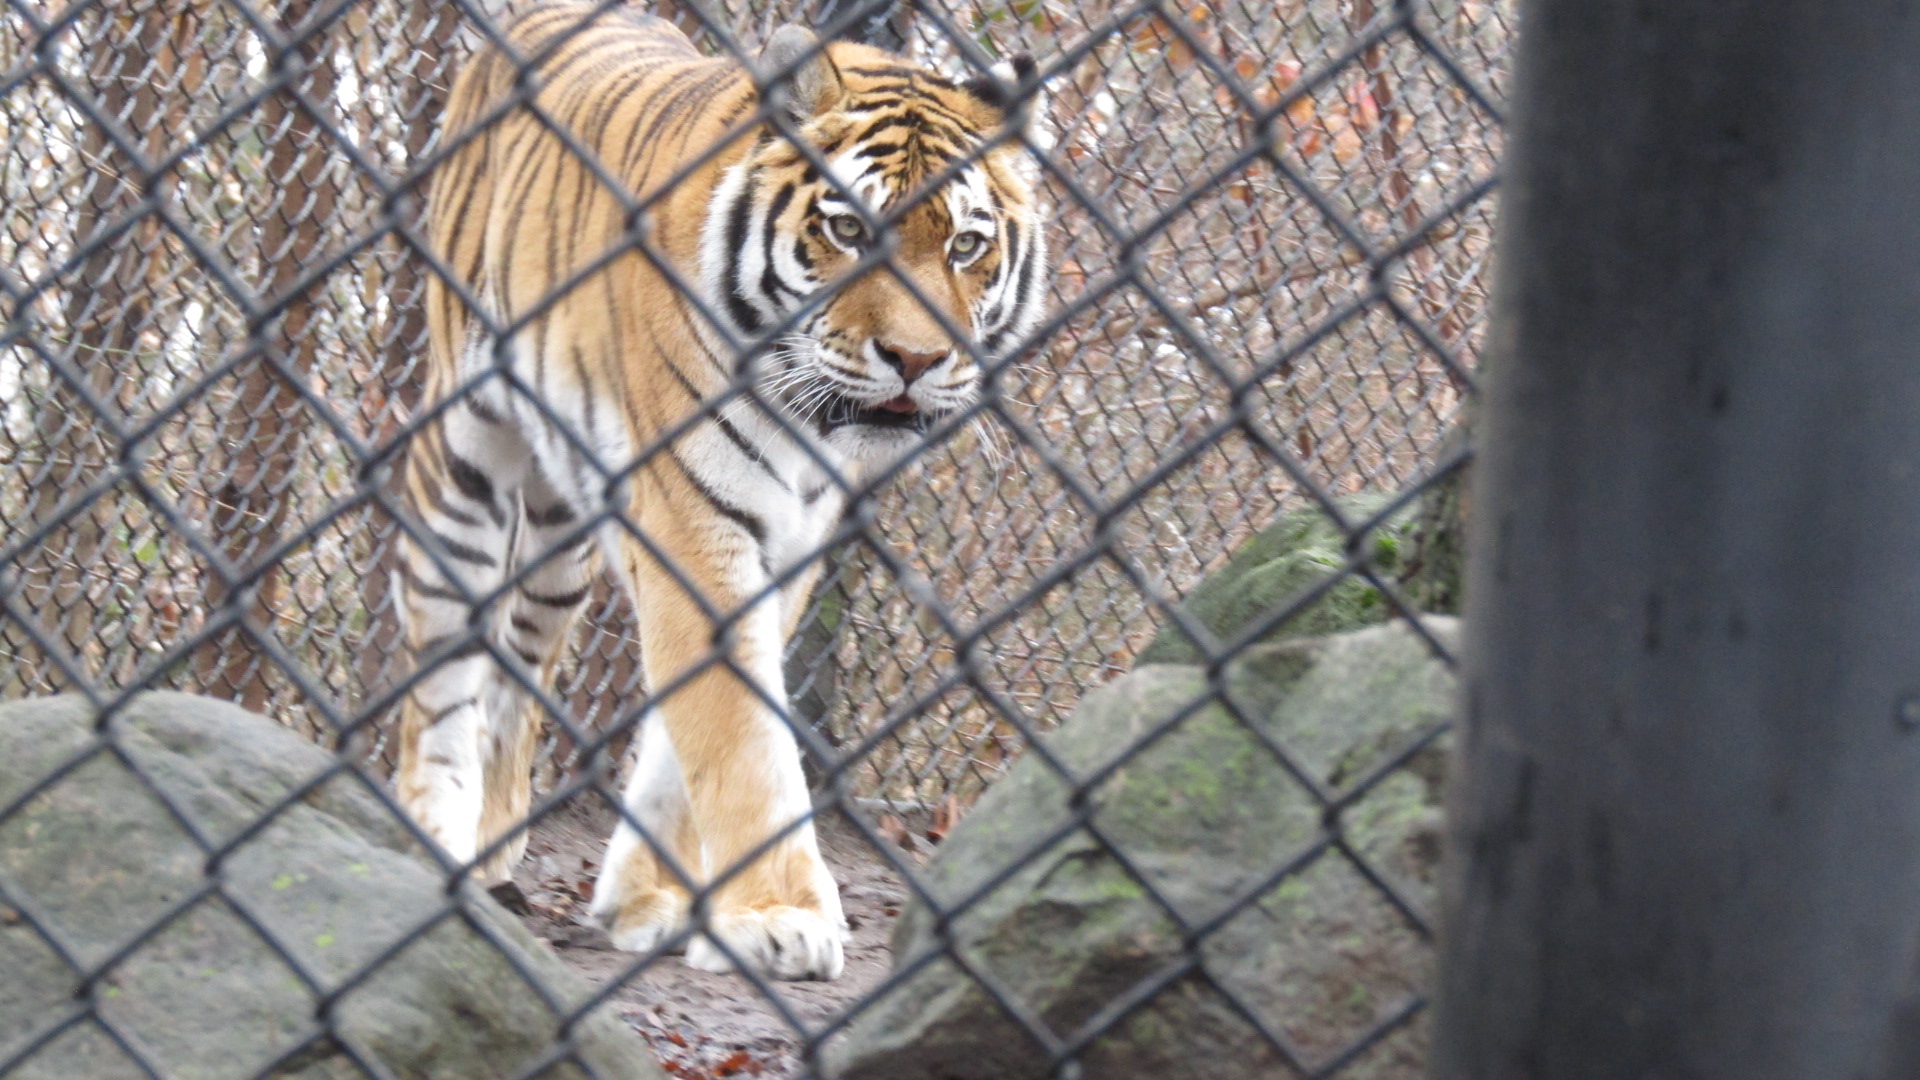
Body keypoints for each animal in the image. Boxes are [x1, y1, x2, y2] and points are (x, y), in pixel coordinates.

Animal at [392, 0, 1047, 982]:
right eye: (848, 231)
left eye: (967, 245)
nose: (917, 360)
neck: (811, 427)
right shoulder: (694, 521)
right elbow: (741, 735)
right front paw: (783, 917)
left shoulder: (788, 542)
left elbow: (689, 735)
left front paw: (650, 902)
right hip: (463, 460)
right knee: (445, 664)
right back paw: (435, 837)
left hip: (560, 540)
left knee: (520, 663)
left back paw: (496, 845)